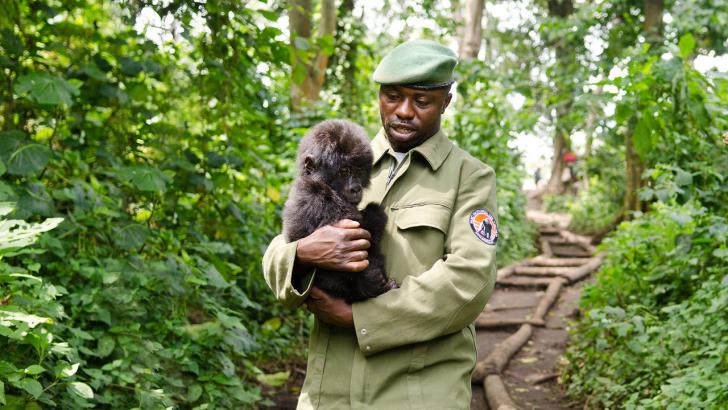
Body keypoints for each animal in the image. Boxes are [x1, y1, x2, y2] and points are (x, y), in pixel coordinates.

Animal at [282, 117, 392, 302]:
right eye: (344, 171)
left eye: (359, 170)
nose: (356, 188)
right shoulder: (317, 198)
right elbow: (364, 229)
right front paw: (375, 212)